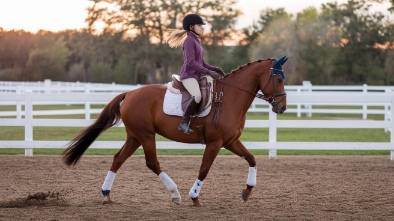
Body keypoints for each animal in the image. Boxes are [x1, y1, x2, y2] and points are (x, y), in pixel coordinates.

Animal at [62, 55, 290, 207]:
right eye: (278, 80)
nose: (282, 108)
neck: (229, 98)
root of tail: (130, 94)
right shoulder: (215, 143)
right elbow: (204, 169)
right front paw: (194, 197)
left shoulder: (230, 141)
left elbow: (252, 159)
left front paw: (247, 191)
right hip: (146, 135)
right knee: (152, 163)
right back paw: (176, 194)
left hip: (134, 136)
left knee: (118, 159)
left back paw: (106, 193)